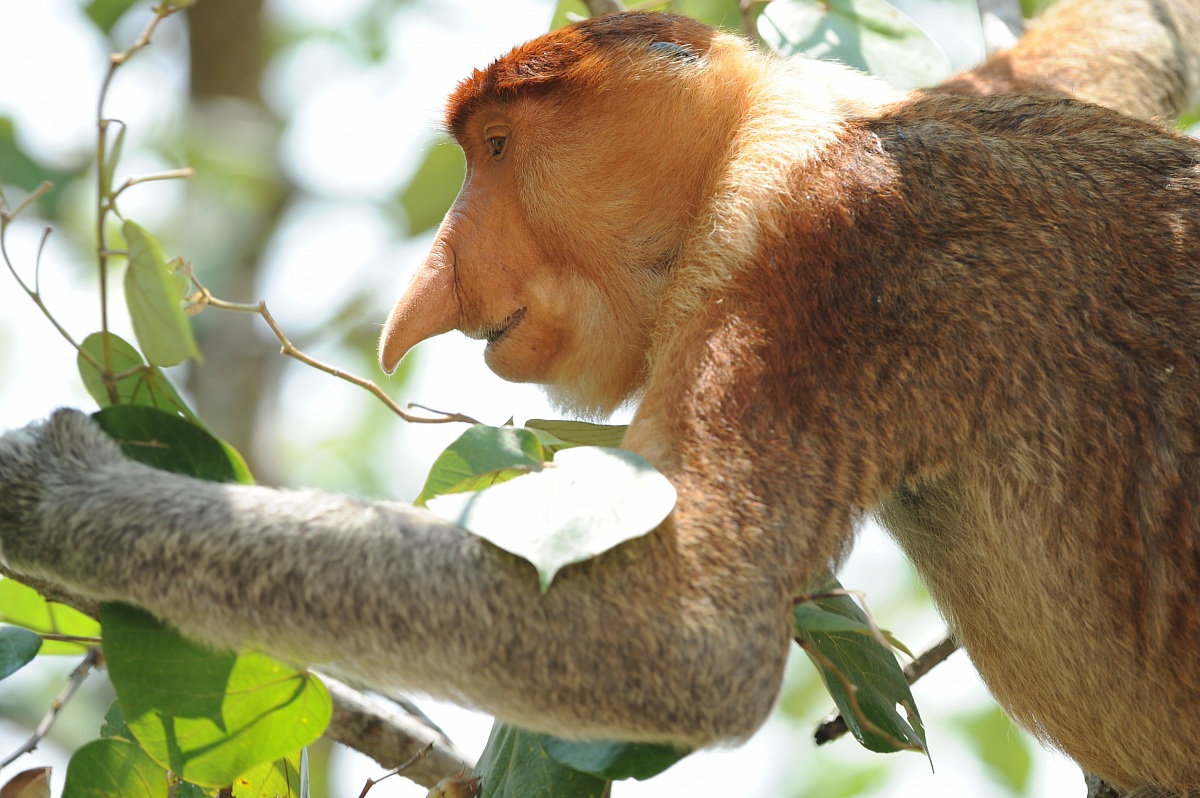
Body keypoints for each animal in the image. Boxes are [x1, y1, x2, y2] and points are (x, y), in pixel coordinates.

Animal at [2, 1, 1200, 795]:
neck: (772, 135)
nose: (431, 292)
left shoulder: (828, 256)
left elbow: (682, 638)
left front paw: (55, 496)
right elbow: (1121, 40)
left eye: (496, 147)